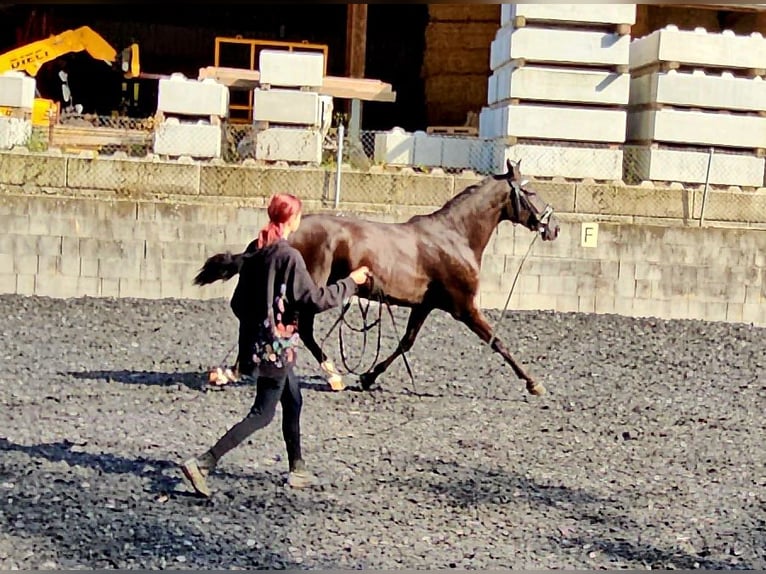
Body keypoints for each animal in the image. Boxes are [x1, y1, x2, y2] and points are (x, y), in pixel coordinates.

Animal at [194, 159, 560, 396]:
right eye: (531, 192)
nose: (553, 227)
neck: (455, 237)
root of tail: (284, 233)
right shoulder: (464, 306)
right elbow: (498, 341)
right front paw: (534, 383)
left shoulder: (425, 305)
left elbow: (405, 341)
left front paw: (369, 376)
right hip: (309, 286)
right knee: (299, 326)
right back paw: (331, 375)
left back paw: (238, 370)